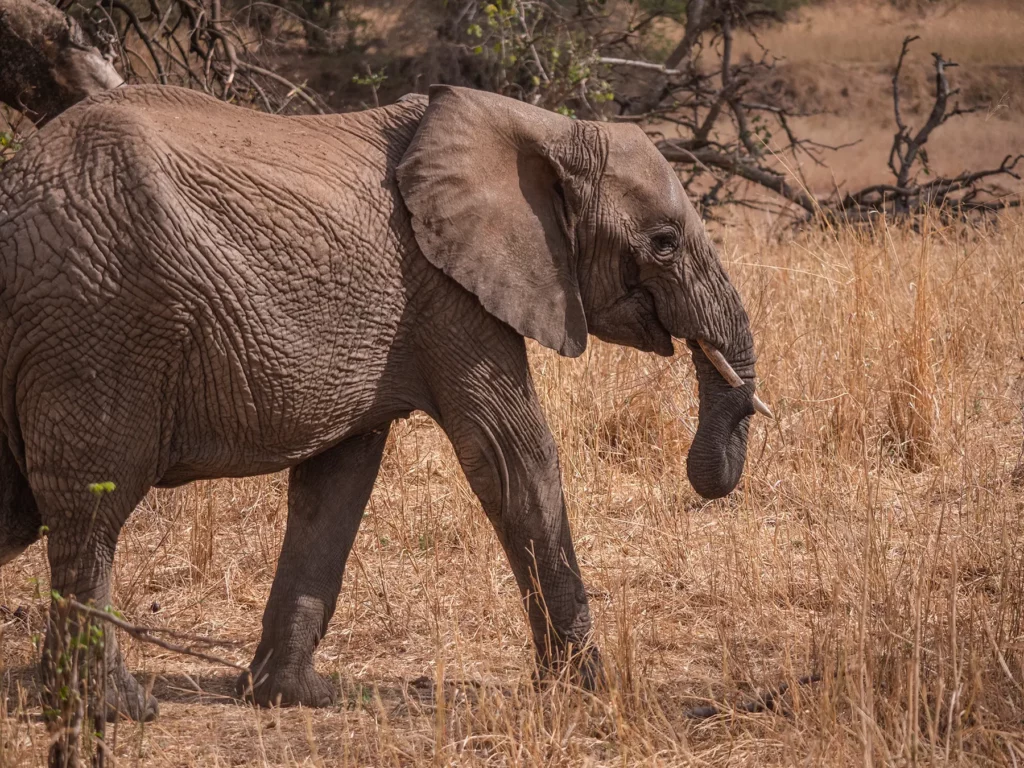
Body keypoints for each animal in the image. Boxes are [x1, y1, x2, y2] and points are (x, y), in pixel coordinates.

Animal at [0, 83, 768, 721]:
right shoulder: (448, 292)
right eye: (664, 243)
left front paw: (294, 699)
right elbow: (513, 462)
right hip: (100, 324)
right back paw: (115, 712)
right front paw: (590, 689)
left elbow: (335, 485)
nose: (713, 472)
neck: (545, 127)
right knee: (91, 513)